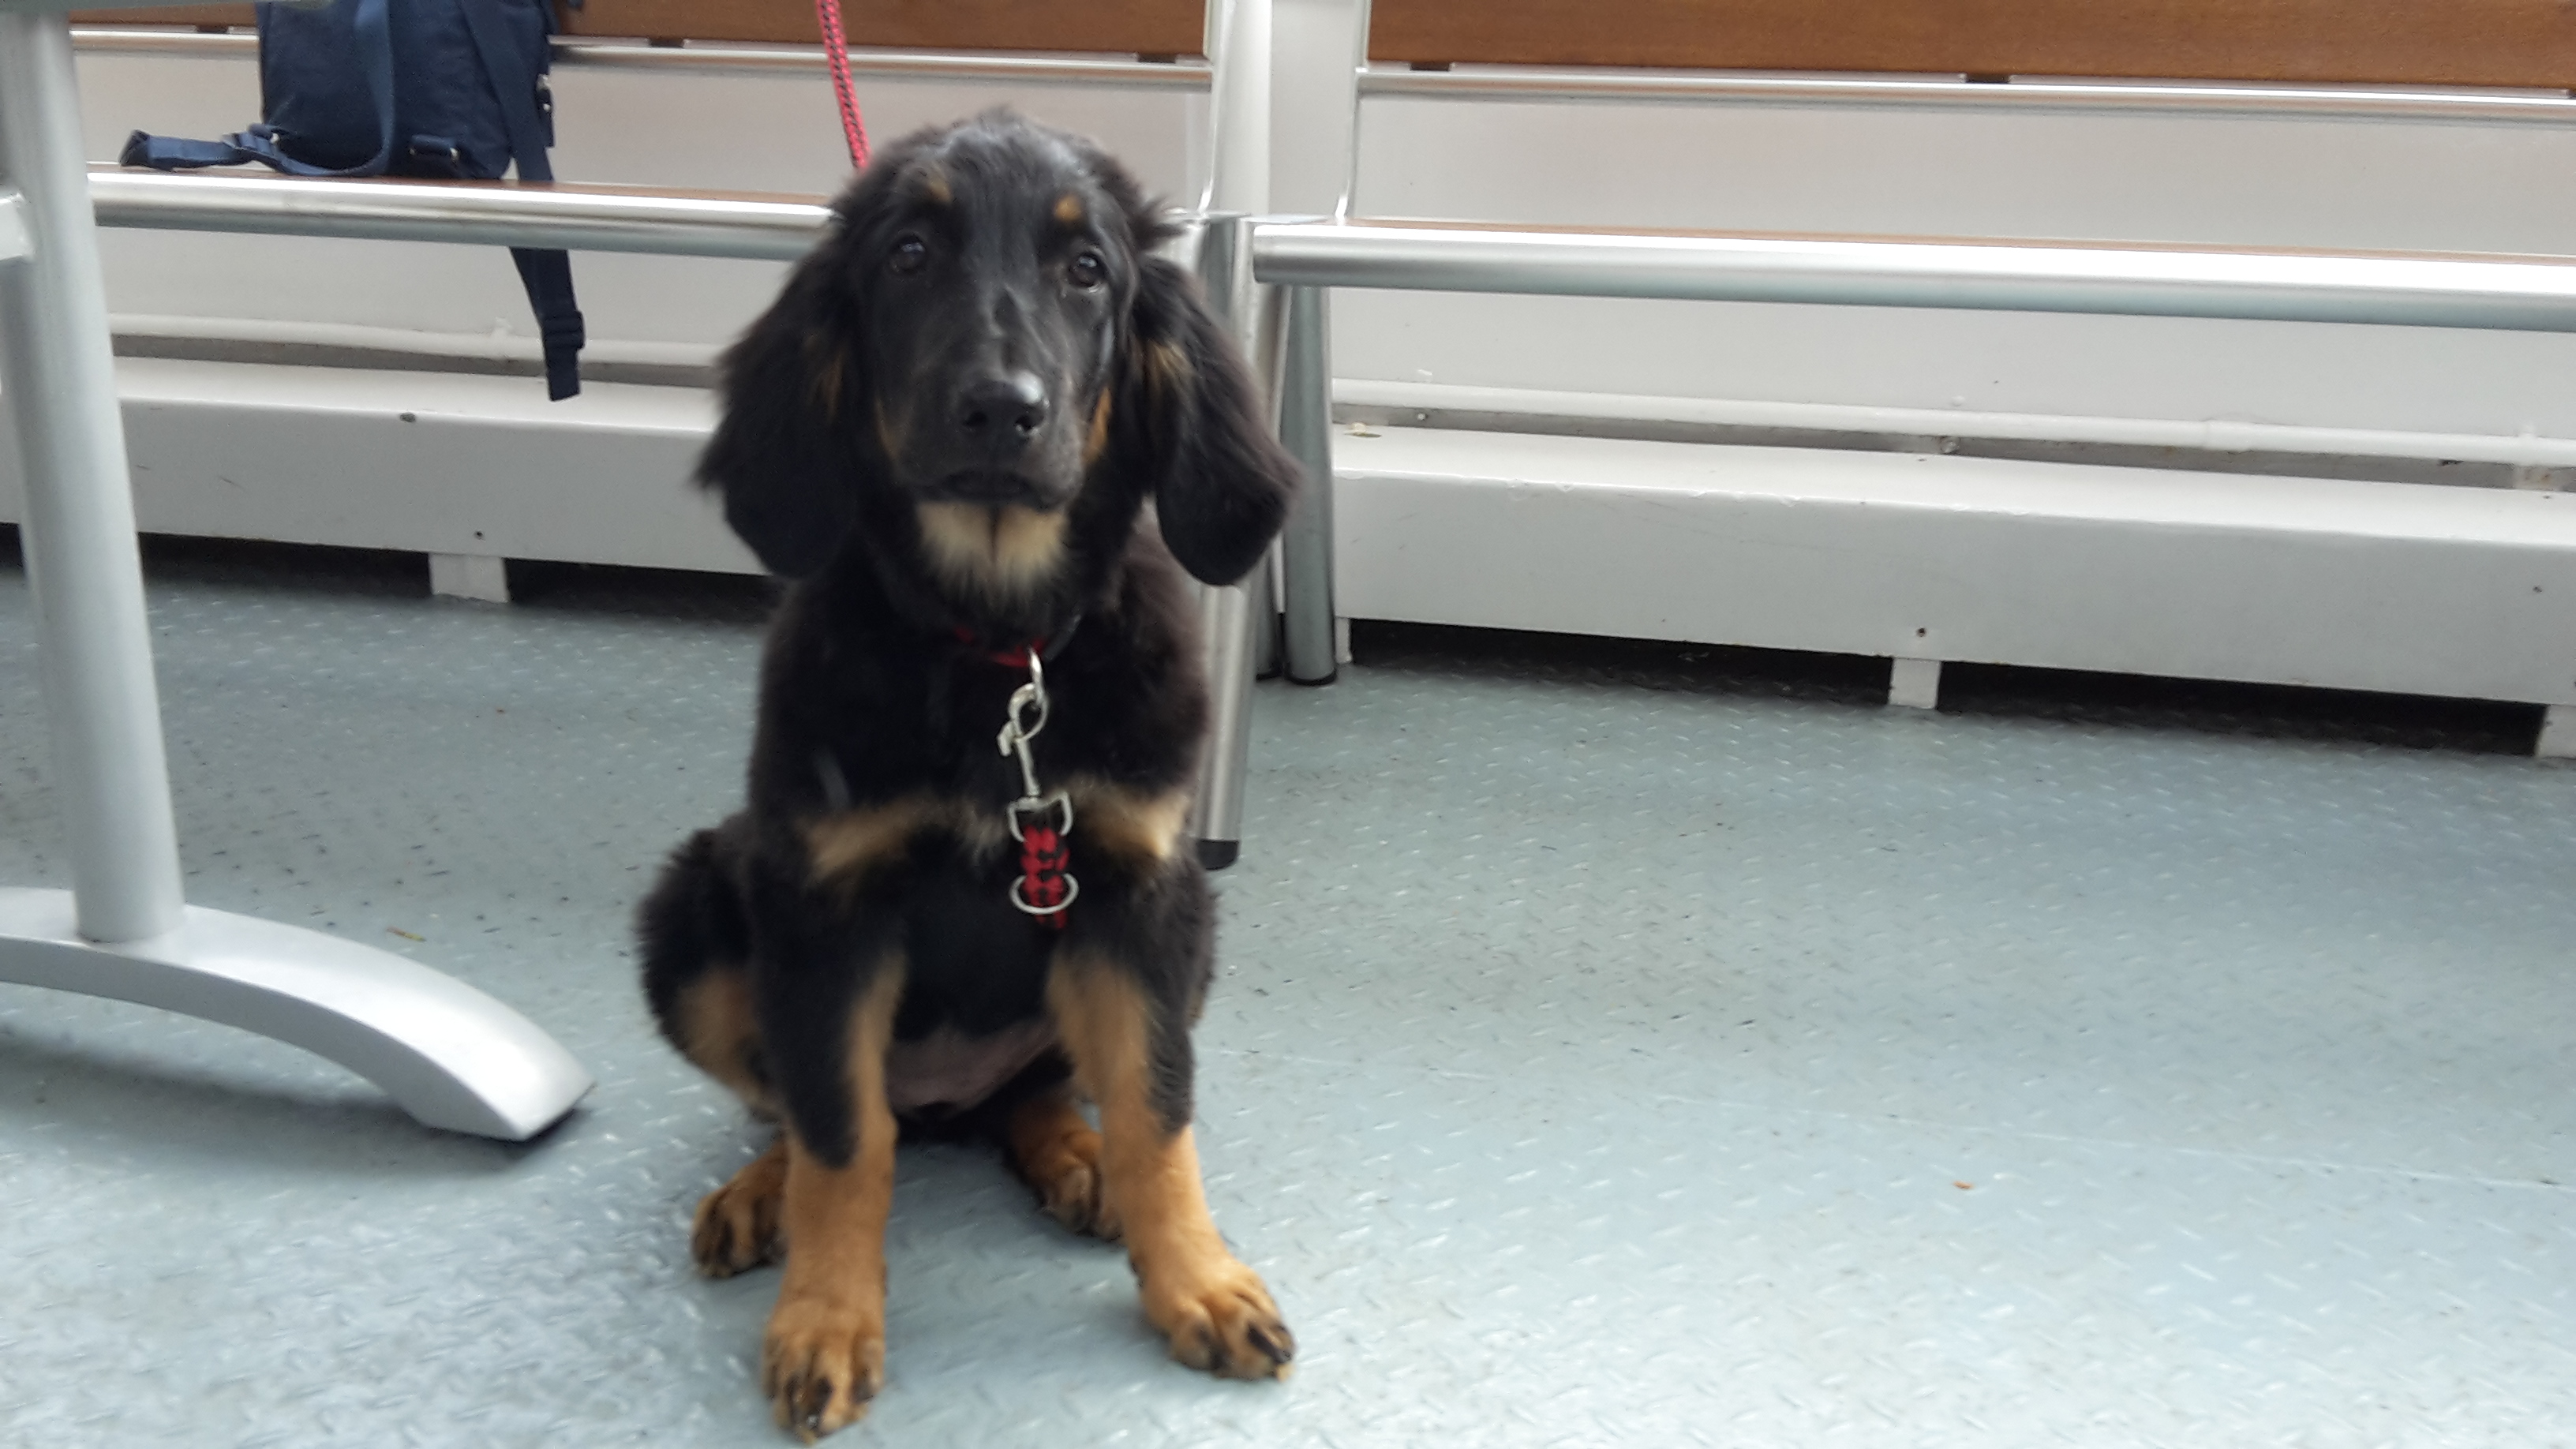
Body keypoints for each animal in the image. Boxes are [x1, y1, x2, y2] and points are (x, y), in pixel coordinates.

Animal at [635, 110, 1301, 1440]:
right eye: (906, 255)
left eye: (1087, 269)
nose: (1002, 411)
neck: (1000, 654)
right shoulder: (825, 909)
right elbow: (844, 1139)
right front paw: (825, 1318)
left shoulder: (1138, 894)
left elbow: (1156, 1109)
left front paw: (1194, 1278)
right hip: (699, 899)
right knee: (816, 1107)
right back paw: (762, 1191)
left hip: (1193, 937)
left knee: (1042, 1091)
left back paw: (1074, 1160)